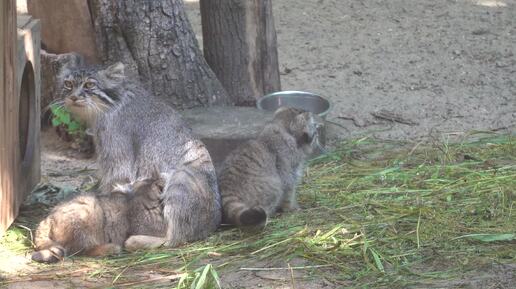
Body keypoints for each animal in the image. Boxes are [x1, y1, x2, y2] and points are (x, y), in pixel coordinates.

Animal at [59, 62, 221, 246]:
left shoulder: (117, 155)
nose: (73, 97)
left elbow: (111, 181)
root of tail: (213, 223)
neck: (112, 104)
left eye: (89, 84)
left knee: (174, 238)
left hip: (181, 178)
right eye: (68, 84)